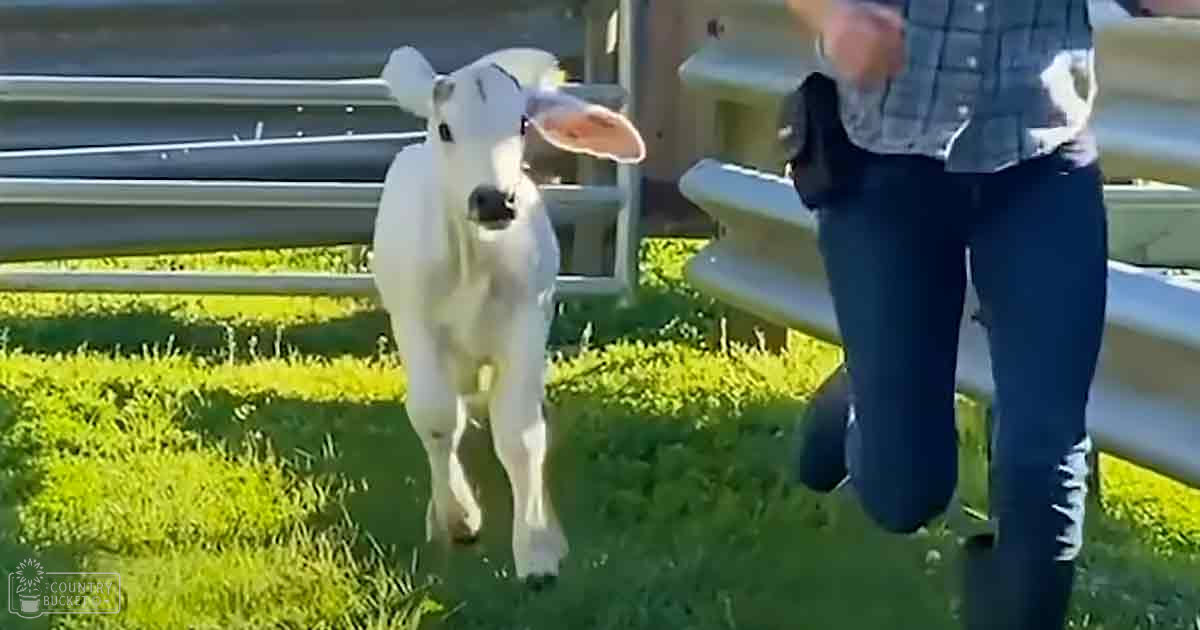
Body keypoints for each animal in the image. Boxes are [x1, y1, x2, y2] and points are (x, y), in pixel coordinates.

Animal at [370, 46, 646, 587]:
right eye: (445, 128)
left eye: (520, 123)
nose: (495, 198)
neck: (475, 261)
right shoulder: (415, 324)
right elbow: (437, 419)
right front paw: (459, 517)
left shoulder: (527, 324)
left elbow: (521, 434)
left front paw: (537, 548)